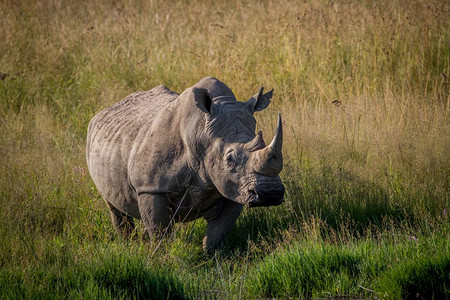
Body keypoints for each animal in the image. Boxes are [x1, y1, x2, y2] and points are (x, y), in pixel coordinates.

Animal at [87, 77, 284, 251]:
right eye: (229, 159)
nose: (270, 193)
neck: (201, 133)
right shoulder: (151, 187)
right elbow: (160, 233)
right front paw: (163, 258)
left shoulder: (234, 188)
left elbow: (218, 233)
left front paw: (210, 257)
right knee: (115, 207)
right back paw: (129, 244)